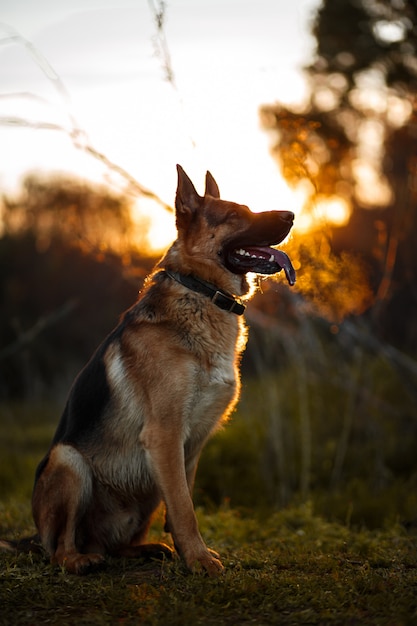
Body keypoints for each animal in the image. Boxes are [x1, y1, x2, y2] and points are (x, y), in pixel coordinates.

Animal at [0, 166, 294, 576]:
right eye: (236, 214)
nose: (292, 216)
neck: (200, 292)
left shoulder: (192, 443)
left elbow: (183, 500)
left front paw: (189, 552)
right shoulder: (165, 434)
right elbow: (185, 508)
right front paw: (199, 559)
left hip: (143, 491)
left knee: (114, 544)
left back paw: (145, 549)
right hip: (68, 460)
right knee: (60, 548)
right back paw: (79, 560)